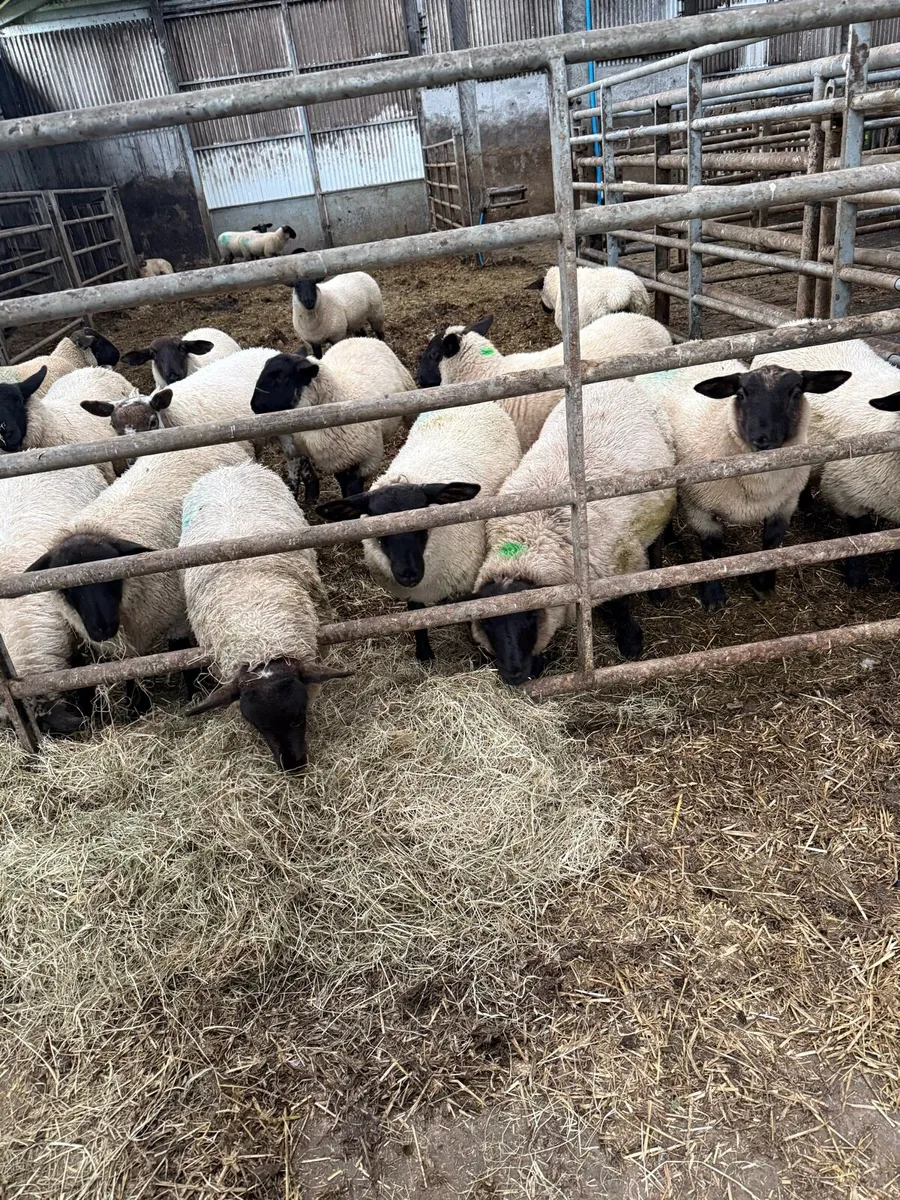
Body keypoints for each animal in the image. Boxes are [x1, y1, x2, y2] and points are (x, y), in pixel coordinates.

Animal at [25, 442, 251, 682]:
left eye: (112, 577)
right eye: (67, 590)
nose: (102, 630)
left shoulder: (177, 618)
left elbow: (182, 659)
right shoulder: (123, 648)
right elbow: (128, 673)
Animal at [251, 337, 414, 501]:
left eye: (281, 377)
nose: (254, 406)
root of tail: (361, 338)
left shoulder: (366, 460)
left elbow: (354, 488)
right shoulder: (338, 461)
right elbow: (343, 484)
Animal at [317, 401, 522, 662]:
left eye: (422, 520)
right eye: (377, 529)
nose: (409, 574)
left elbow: (471, 610)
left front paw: (480, 651)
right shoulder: (411, 592)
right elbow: (416, 617)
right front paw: (424, 654)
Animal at [469, 380, 676, 686]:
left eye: (530, 616)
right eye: (486, 622)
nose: (513, 674)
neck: (535, 532)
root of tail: (616, 381)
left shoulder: (619, 561)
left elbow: (622, 603)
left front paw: (630, 640)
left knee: (657, 539)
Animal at [635, 356, 850, 610]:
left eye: (796, 393)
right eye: (741, 393)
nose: (762, 439)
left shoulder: (786, 503)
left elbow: (771, 542)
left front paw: (763, 586)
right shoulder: (698, 507)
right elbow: (712, 544)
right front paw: (713, 595)